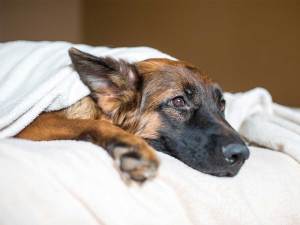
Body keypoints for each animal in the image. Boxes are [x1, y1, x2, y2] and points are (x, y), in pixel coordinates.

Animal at [17, 48, 251, 183]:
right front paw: (131, 145)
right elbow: (87, 124)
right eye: (178, 101)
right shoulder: (33, 125)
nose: (241, 155)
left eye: (222, 104)